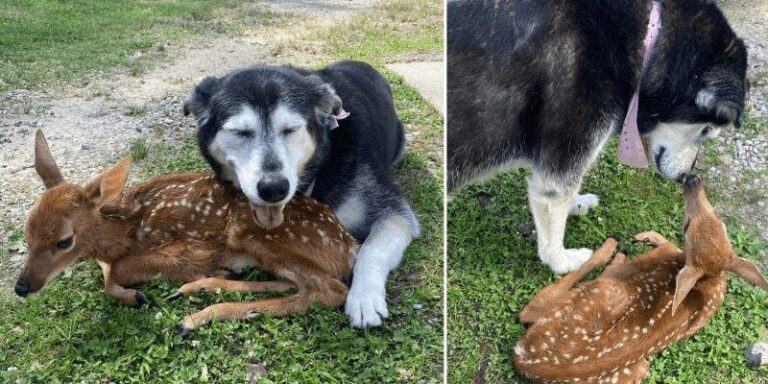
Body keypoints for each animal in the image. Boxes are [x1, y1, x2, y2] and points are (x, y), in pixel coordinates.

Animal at [182, 61, 420, 328]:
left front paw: (364, 298)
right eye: (241, 132)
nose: (273, 188)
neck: (322, 163)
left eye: (290, 130)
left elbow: (371, 250)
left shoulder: (394, 213)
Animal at [448, 1, 748, 274]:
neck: (650, 37)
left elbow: (567, 195)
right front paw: (563, 262)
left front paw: (576, 203)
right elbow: (554, 218)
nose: (688, 176)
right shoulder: (558, 172)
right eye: (706, 131)